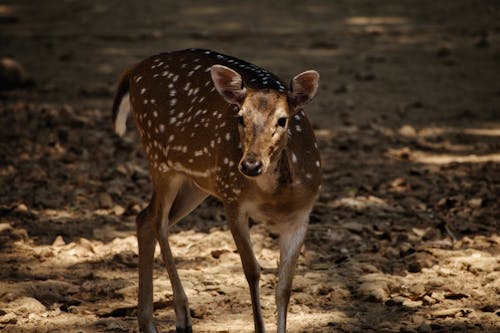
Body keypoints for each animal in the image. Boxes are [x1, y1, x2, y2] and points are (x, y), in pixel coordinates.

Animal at [112, 47, 322, 332]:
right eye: (240, 117)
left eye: (282, 120)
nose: (250, 165)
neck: (274, 197)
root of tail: (134, 70)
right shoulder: (232, 200)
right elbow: (252, 270)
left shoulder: (301, 215)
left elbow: (285, 287)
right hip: (160, 159)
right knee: (158, 222)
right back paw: (182, 315)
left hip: (196, 184)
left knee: (144, 218)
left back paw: (147, 323)